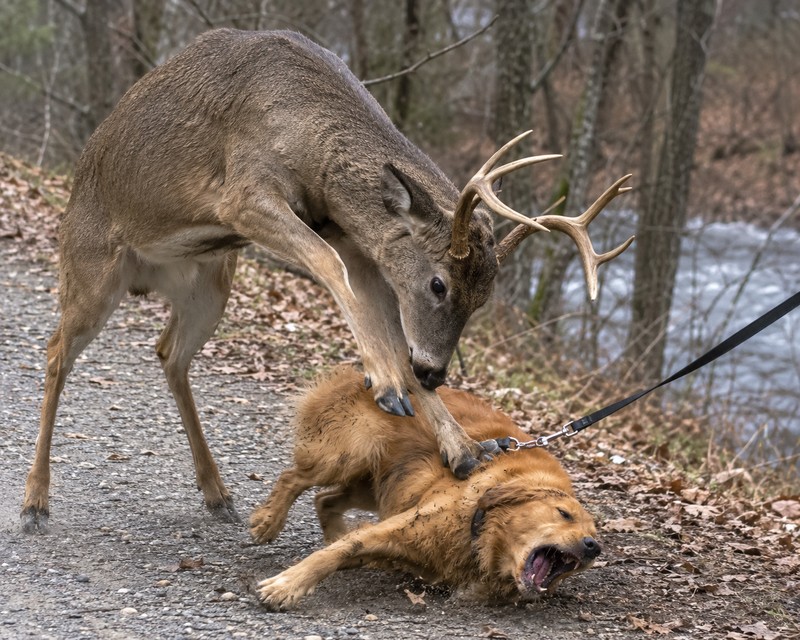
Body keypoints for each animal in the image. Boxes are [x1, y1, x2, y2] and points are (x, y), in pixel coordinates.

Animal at [21, 29, 633, 533]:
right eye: (439, 285)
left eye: (483, 300)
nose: (436, 372)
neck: (312, 134)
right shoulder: (246, 196)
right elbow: (328, 267)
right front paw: (385, 383)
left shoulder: (352, 234)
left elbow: (385, 321)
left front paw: (464, 449)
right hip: (93, 267)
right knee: (55, 350)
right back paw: (35, 502)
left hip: (208, 284)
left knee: (168, 352)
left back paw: (218, 494)